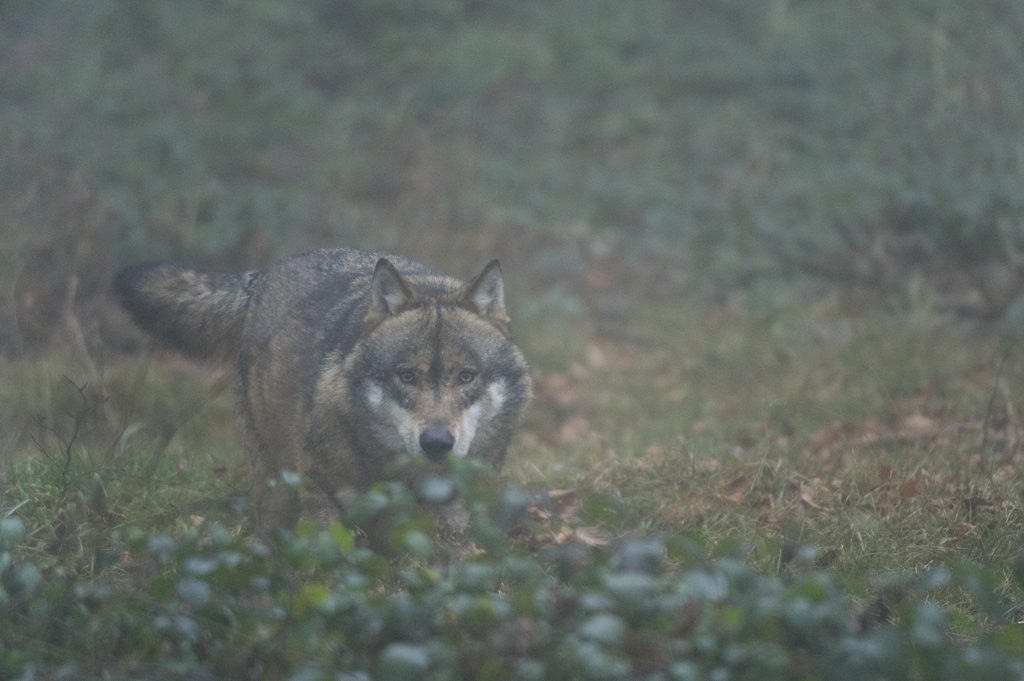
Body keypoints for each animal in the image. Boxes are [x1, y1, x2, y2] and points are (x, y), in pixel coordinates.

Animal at [115, 248, 532, 524]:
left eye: (466, 376)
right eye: (407, 376)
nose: (437, 443)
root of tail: (262, 276)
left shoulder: (455, 510)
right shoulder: (322, 498)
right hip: (273, 478)